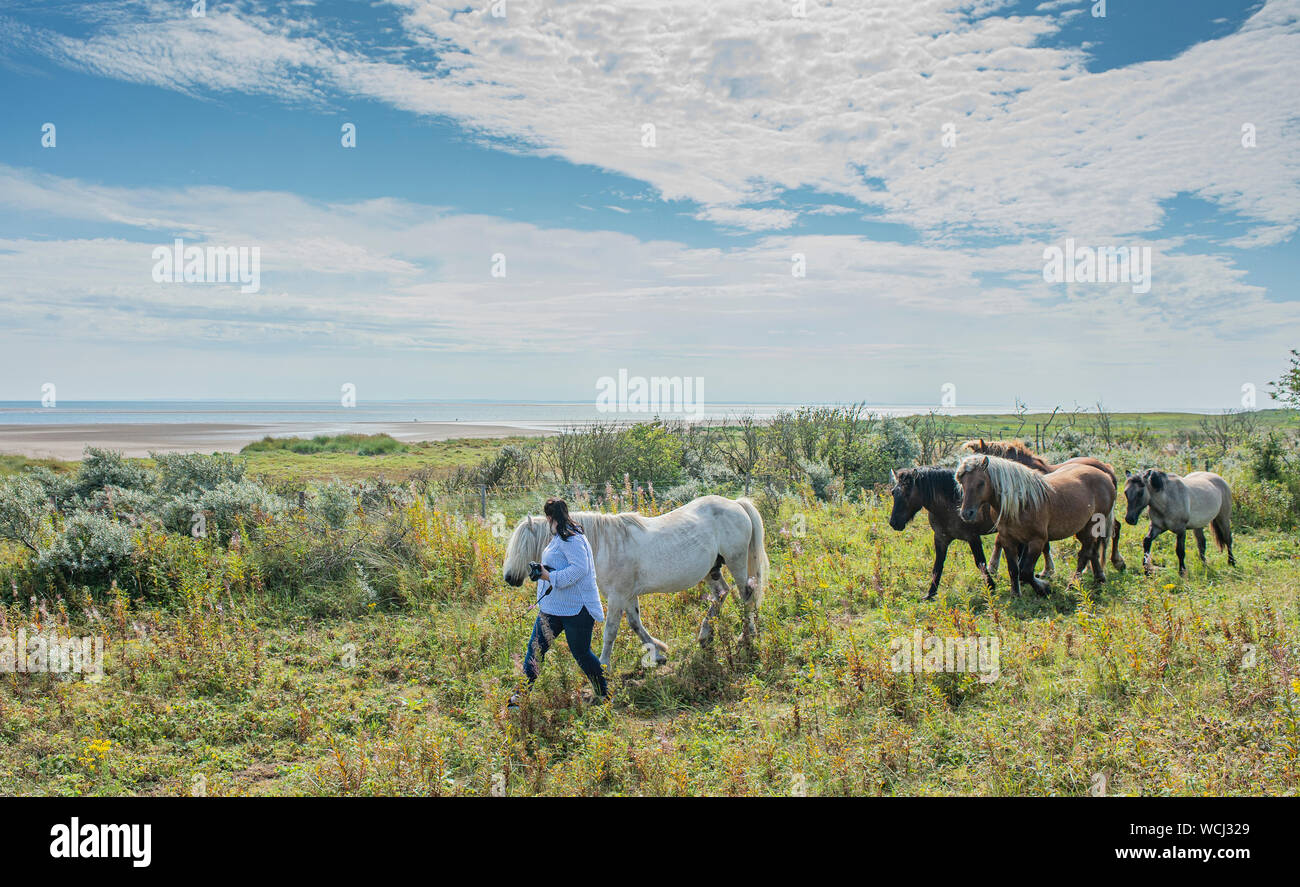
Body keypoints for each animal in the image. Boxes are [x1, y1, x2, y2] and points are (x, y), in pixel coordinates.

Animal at [496, 491, 759, 663]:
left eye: (521, 547)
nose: (509, 577)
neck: (603, 545)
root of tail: (736, 504)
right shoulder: (628, 595)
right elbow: (635, 624)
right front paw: (658, 651)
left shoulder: (617, 596)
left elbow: (610, 631)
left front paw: (604, 665)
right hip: (711, 569)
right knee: (722, 594)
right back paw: (706, 636)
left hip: (736, 561)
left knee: (746, 596)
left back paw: (745, 638)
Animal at [951, 455, 1123, 593]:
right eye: (962, 483)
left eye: (980, 483)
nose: (966, 513)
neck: (1021, 502)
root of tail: (1106, 474)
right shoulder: (1008, 539)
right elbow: (1014, 569)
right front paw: (1016, 594)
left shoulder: (1037, 541)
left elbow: (1026, 571)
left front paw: (1043, 588)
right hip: (1082, 529)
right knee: (1093, 551)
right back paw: (1099, 578)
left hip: (1091, 527)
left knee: (1085, 554)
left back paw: (1073, 585)